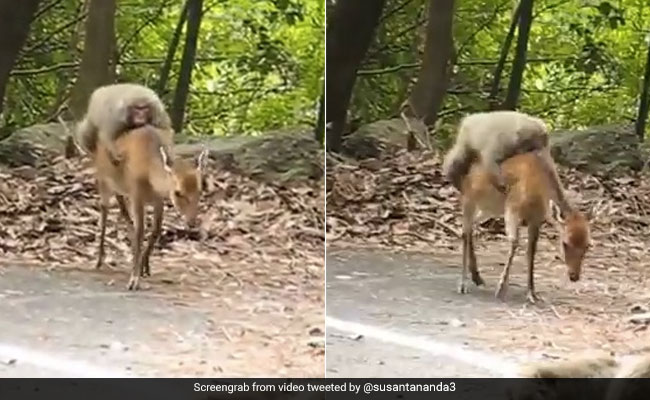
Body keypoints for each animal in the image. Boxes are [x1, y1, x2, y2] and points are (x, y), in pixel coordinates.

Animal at [89, 125, 208, 290]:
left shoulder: (158, 200)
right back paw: (99, 260)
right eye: (178, 192)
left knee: (124, 213)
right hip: (104, 182)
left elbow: (155, 230)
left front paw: (144, 267)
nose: (191, 222)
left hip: (122, 191)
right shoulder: (137, 195)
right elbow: (141, 233)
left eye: (200, 190)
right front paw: (134, 280)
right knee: (104, 213)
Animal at [456, 151, 590, 303]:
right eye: (565, 243)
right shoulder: (513, 208)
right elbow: (515, 242)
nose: (574, 276)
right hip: (469, 200)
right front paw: (501, 289)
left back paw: (477, 278)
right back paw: (463, 284)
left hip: (490, 209)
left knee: (471, 226)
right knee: (464, 230)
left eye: (587, 245)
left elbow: (531, 252)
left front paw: (532, 294)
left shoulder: (536, 219)